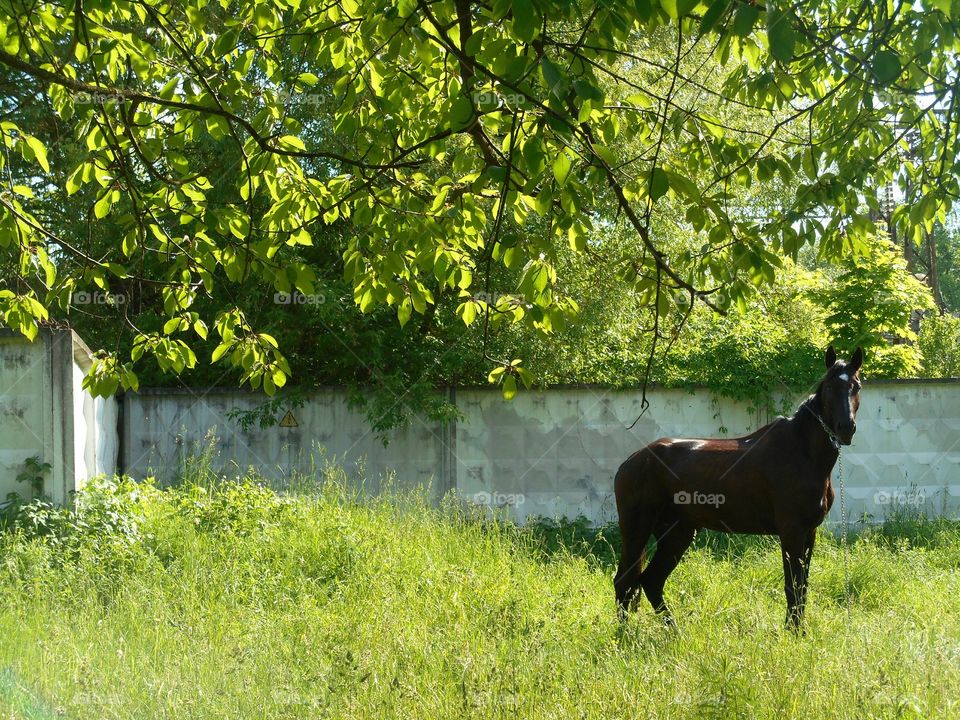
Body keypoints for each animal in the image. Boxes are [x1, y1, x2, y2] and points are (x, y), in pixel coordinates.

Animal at [616, 346, 872, 628]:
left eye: (857, 386)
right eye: (829, 386)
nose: (846, 428)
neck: (802, 452)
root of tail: (632, 460)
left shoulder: (809, 532)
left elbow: (802, 587)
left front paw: (799, 630)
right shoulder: (791, 531)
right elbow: (792, 586)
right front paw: (792, 632)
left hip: (678, 532)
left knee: (650, 580)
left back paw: (674, 631)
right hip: (637, 530)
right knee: (625, 581)